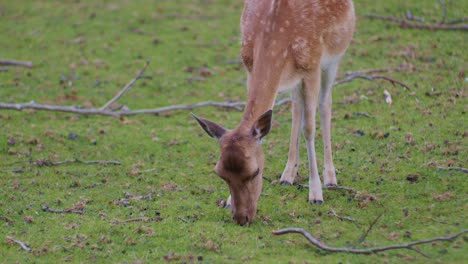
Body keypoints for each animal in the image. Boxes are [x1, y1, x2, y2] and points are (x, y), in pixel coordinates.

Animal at [192, 0, 352, 225]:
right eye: (220, 174)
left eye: (255, 172)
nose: (241, 218)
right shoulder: (249, 65)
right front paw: (228, 201)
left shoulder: (312, 66)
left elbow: (309, 129)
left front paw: (315, 194)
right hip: (297, 78)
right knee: (297, 104)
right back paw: (287, 175)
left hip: (334, 57)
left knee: (325, 102)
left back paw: (330, 178)